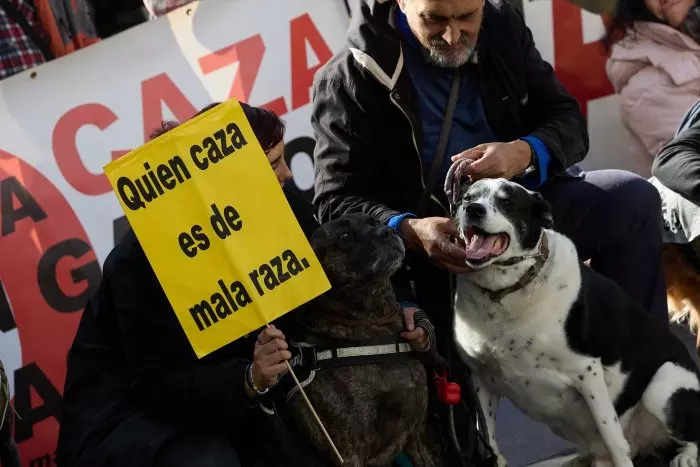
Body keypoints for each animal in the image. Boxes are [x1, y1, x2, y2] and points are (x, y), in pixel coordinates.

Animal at [250, 216, 438, 467]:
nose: (387, 231)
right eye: (345, 236)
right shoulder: (348, 453)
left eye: (374, 222)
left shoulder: (417, 434)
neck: (373, 324)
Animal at [446, 173, 700, 467]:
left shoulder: (587, 372)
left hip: (663, 384)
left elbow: (614, 439)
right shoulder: (481, 378)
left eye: (507, 202)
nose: (473, 209)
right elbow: (488, 439)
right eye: (467, 198)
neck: (508, 292)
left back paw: (685, 456)